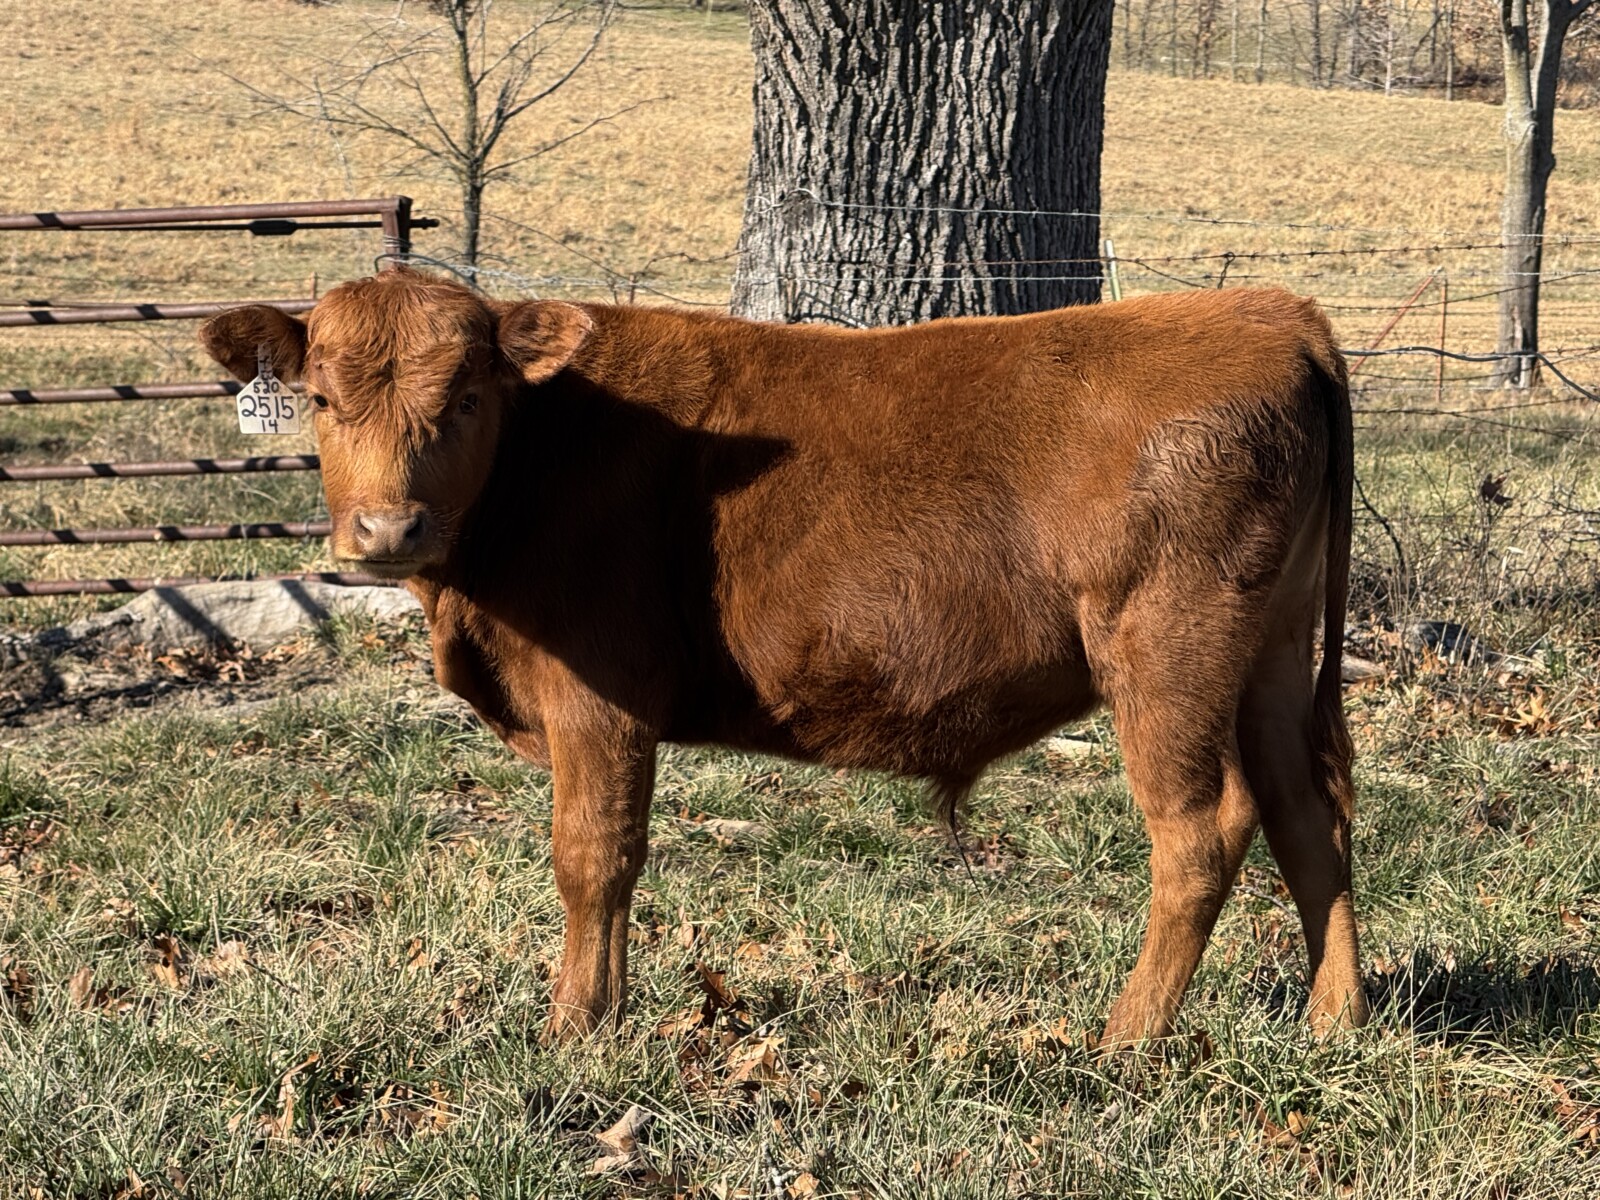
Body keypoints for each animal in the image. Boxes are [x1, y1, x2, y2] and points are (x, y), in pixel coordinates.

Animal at [201, 268, 1368, 1048]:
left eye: (468, 396)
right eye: (319, 399)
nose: (386, 530)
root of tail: (1272, 312)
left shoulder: (597, 696)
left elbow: (592, 856)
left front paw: (575, 1028)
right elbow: (617, 859)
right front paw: (606, 1013)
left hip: (1165, 652)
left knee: (1203, 831)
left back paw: (1128, 1036)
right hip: (1269, 651)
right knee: (1309, 817)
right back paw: (1335, 1020)